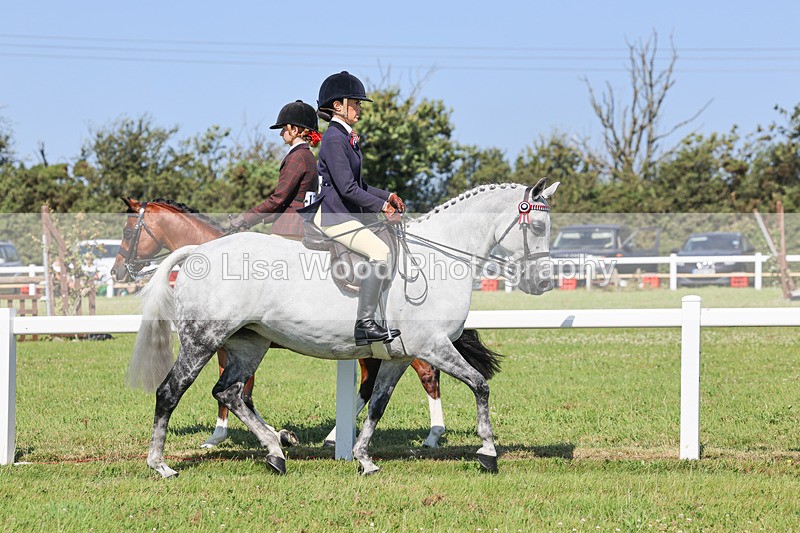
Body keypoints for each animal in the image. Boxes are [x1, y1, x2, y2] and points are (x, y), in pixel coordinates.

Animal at [112, 198, 448, 448]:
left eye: (128, 233)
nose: (118, 271)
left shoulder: (224, 345)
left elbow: (238, 391)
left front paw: (222, 436)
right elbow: (242, 392)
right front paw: (279, 434)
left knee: (427, 374)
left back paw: (433, 434)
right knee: (370, 385)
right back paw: (336, 436)